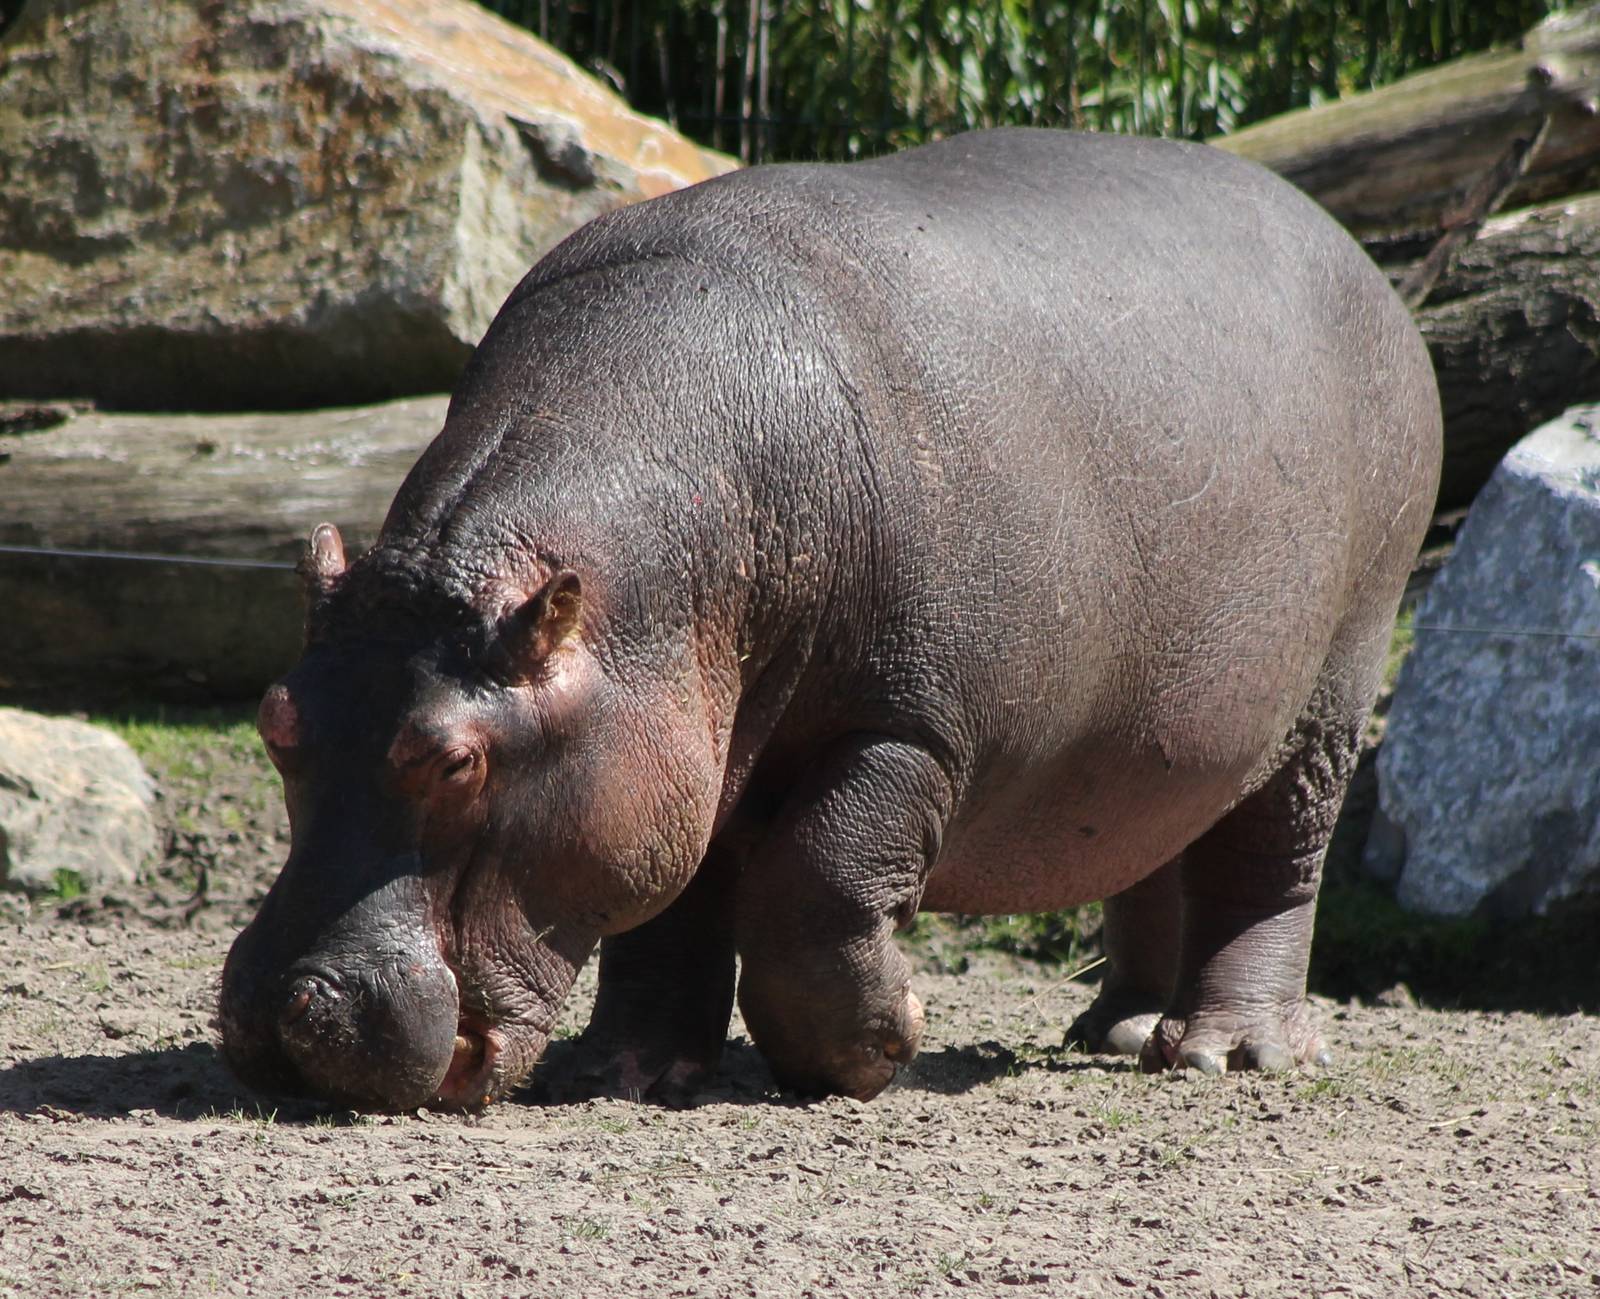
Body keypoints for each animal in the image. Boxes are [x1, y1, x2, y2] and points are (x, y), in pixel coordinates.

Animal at [219, 128, 1441, 1111]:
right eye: (278, 720)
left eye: (454, 760)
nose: (291, 1011)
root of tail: (1365, 265)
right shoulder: (678, 742)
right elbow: (668, 908)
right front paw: (620, 1075)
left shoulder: (914, 726)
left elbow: (818, 878)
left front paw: (876, 1045)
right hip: (1168, 723)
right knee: (1158, 840)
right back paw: (1118, 1028)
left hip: (1334, 680)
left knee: (1272, 863)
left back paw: (1219, 1053)